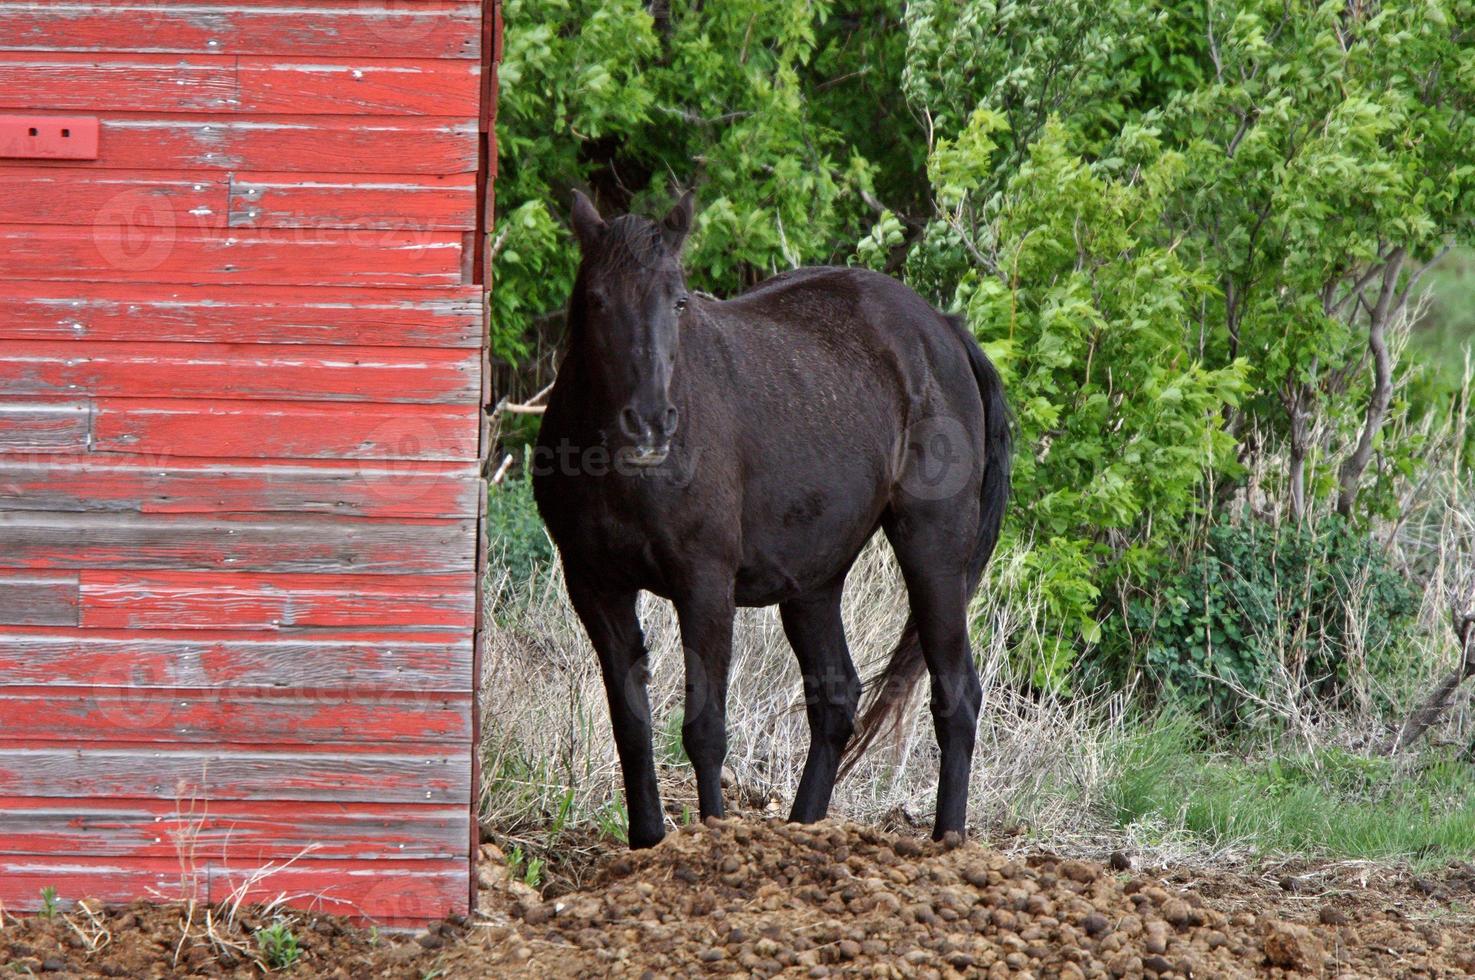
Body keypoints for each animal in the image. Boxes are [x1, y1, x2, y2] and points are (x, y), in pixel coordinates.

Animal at [533, 193, 1014, 850]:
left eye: (678, 300)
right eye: (597, 300)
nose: (651, 422)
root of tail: (944, 330)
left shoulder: (704, 584)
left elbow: (704, 730)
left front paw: (711, 839)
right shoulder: (596, 588)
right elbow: (631, 728)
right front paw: (647, 848)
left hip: (933, 553)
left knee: (956, 695)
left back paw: (947, 843)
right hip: (813, 581)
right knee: (836, 699)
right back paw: (803, 831)